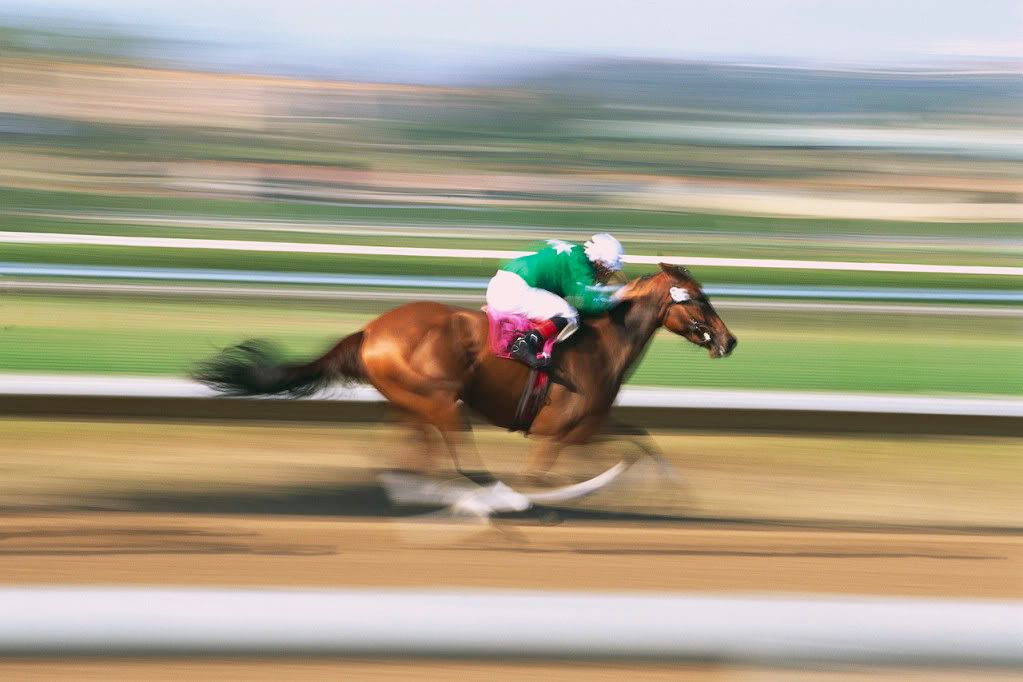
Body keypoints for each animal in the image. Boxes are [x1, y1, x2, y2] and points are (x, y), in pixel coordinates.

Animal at [196, 263, 737, 501]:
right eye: (698, 298)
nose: (729, 341)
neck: (603, 343)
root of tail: (370, 330)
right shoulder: (558, 431)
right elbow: (543, 476)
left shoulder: (589, 425)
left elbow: (642, 438)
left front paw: (671, 488)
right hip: (440, 401)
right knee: (452, 459)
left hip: (409, 404)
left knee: (406, 454)